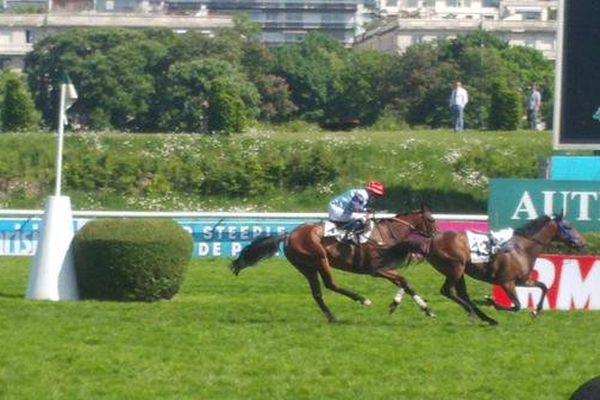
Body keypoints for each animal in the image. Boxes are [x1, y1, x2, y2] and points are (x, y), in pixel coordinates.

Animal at [230, 208, 436, 324]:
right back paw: (362, 299)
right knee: (331, 284)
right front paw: (422, 307)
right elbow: (404, 280)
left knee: (317, 293)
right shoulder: (377, 270)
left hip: (307, 267)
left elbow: (404, 282)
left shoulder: (386, 268)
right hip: (320, 258)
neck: (385, 235)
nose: (435, 236)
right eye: (432, 220)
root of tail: (288, 235)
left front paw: (422, 308)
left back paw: (332, 317)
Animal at [426, 216, 584, 324]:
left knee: (462, 294)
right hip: (455, 268)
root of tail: (433, 238)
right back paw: (475, 313)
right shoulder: (507, 283)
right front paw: (492, 302)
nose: (583, 243)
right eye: (569, 226)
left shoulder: (523, 280)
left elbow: (544, 286)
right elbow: (517, 306)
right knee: (447, 291)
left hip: (459, 272)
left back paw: (486, 318)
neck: (522, 248)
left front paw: (536, 311)